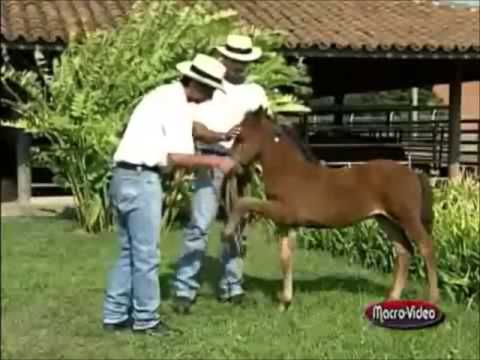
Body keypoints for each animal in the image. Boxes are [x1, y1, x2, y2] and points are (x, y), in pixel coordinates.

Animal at [221, 106, 438, 310]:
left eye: (241, 138)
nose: (228, 165)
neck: (289, 172)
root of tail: (414, 173)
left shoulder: (283, 212)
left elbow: (245, 202)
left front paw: (227, 232)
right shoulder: (286, 223)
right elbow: (285, 257)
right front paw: (284, 302)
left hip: (407, 217)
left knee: (426, 247)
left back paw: (433, 299)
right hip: (385, 219)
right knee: (404, 250)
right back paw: (392, 298)